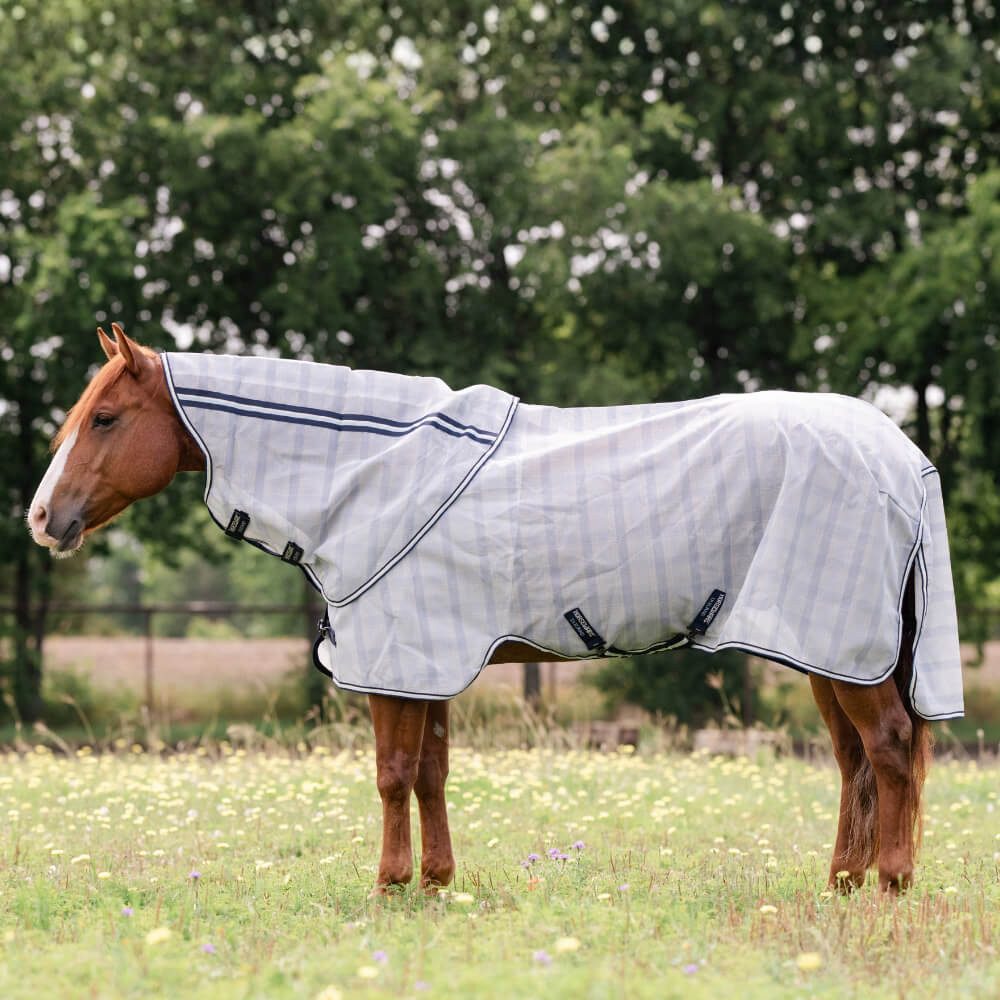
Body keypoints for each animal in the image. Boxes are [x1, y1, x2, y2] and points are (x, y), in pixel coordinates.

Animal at [28, 324, 963, 895]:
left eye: (105, 417)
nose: (42, 519)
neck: (371, 469)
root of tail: (901, 455)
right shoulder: (427, 661)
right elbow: (432, 772)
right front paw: (438, 884)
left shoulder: (397, 659)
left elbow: (392, 773)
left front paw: (388, 886)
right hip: (832, 649)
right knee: (855, 762)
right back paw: (841, 885)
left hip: (846, 647)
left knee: (890, 751)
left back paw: (890, 886)